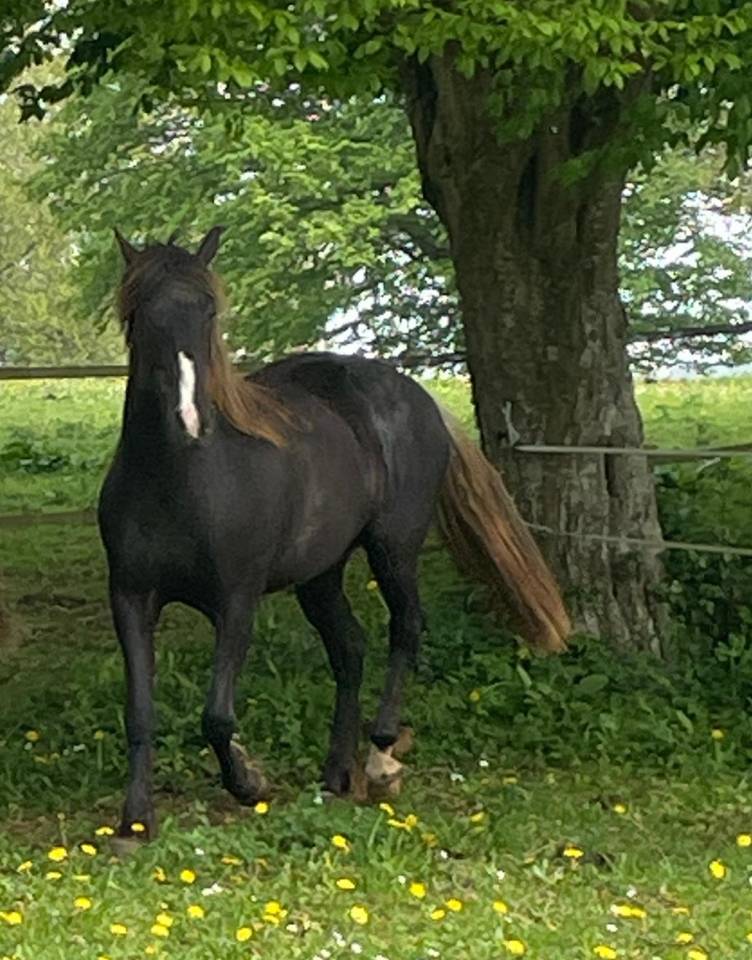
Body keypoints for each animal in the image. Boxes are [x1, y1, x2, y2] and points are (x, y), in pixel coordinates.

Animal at [98, 226, 570, 841]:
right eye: (141, 313)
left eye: (208, 310)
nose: (188, 418)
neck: (182, 479)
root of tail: (420, 397)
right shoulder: (131, 598)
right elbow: (140, 712)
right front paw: (135, 820)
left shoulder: (237, 600)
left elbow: (217, 716)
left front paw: (249, 782)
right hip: (320, 575)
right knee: (350, 649)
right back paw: (335, 774)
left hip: (393, 550)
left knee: (405, 628)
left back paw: (381, 757)